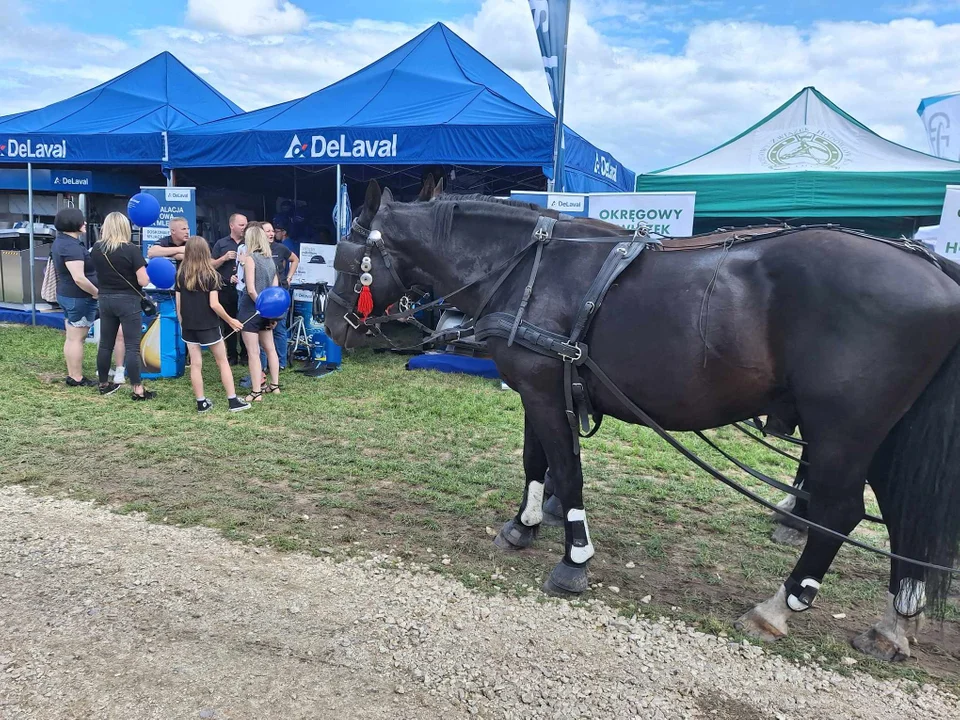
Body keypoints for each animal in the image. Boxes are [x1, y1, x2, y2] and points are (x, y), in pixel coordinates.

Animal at [326, 177, 960, 660]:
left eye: (346, 258)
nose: (332, 325)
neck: (530, 267)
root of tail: (933, 270)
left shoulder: (544, 389)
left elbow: (567, 472)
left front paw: (573, 560)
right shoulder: (535, 386)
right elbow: (536, 461)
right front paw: (524, 525)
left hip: (842, 430)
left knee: (840, 513)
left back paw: (779, 607)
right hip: (886, 435)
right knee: (899, 517)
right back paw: (895, 622)